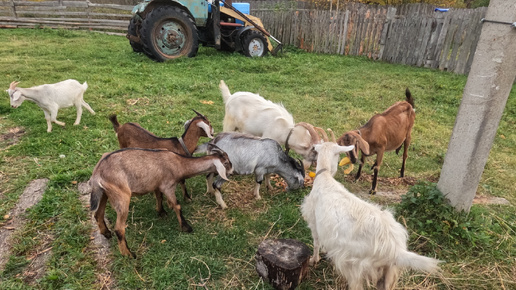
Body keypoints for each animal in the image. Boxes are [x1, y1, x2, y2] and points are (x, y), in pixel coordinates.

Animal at [89, 146, 232, 258]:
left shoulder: (157, 184)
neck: (179, 163)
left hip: (104, 193)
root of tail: (97, 174)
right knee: (119, 228)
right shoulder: (168, 186)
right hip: (121, 195)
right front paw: (186, 227)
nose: (231, 170)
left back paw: (106, 233)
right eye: (226, 163)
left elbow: (159, 197)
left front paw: (161, 212)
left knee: (98, 214)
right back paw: (129, 254)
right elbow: (177, 205)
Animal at [300, 142, 442, 288]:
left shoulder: (313, 220)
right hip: (388, 273)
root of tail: (394, 249)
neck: (325, 177)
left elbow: (316, 243)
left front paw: (314, 259)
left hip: (355, 266)